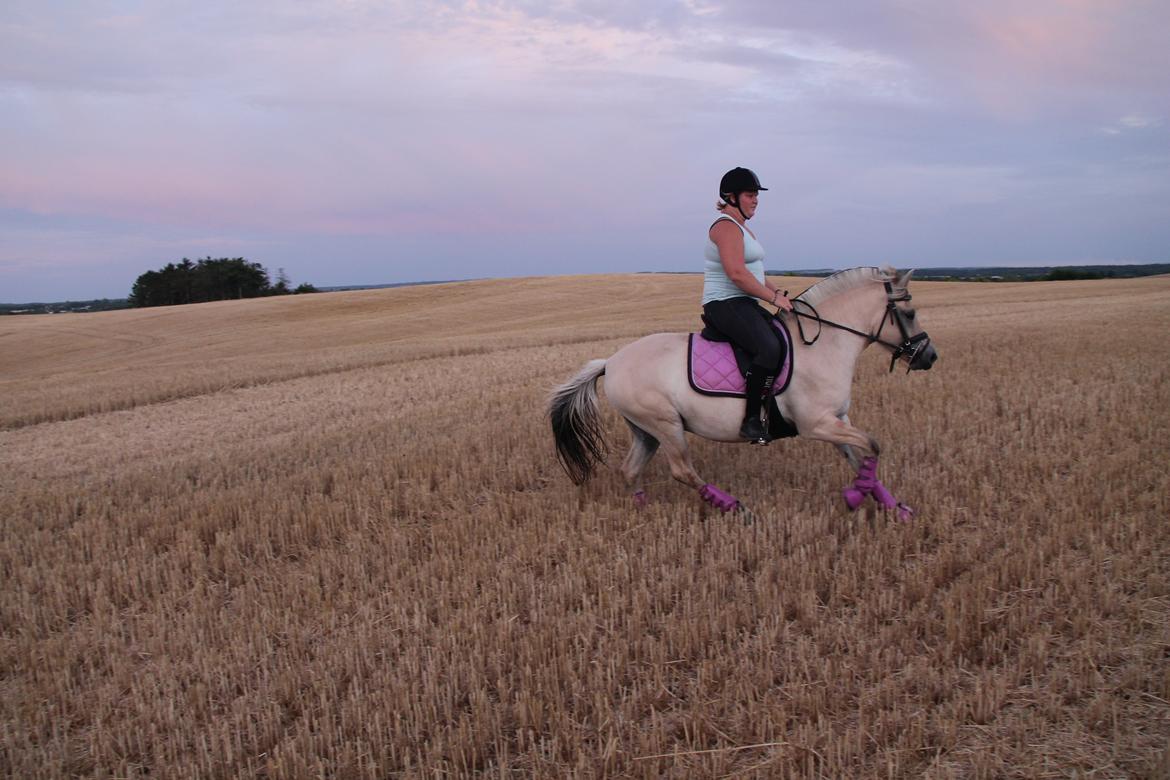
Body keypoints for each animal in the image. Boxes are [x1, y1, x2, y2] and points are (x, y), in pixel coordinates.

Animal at [549, 268, 940, 519]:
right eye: (909, 312)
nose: (930, 356)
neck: (823, 342)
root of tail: (611, 362)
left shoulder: (836, 420)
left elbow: (862, 457)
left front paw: (891, 505)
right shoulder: (817, 424)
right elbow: (873, 445)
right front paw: (856, 496)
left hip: (646, 430)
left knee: (631, 469)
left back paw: (642, 511)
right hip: (665, 425)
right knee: (682, 470)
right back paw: (736, 508)